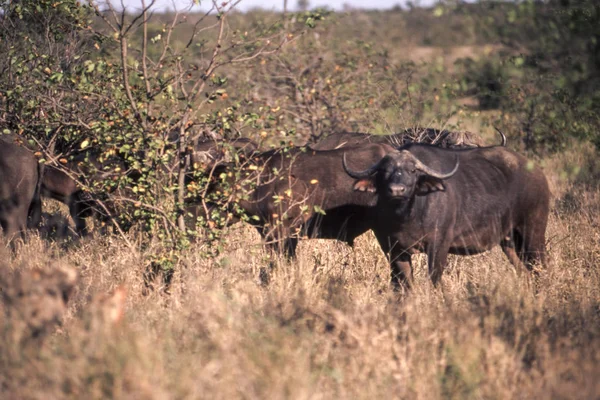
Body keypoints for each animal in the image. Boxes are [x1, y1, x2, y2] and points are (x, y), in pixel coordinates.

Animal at [344, 142, 552, 290]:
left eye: (413, 170)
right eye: (385, 171)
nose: (397, 190)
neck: (406, 217)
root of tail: (537, 173)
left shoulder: (439, 245)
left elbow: (434, 280)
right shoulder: (394, 249)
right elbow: (405, 283)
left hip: (533, 232)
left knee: (541, 266)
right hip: (509, 242)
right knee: (525, 272)